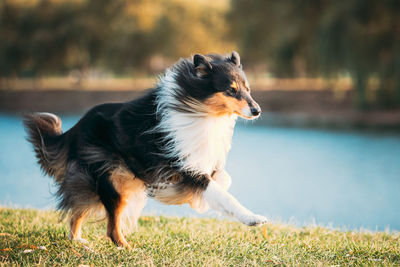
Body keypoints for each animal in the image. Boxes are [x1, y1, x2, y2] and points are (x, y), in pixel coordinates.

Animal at [24, 51, 268, 248]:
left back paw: (79, 241)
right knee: (111, 227)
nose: (257, 110)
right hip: (111, 179)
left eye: (248, 89)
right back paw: (125, 247)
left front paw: (193, 201)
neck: (200, 111)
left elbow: (223, 181)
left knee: (78, 212)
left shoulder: (200, 160)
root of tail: (74, 129)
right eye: (231, 90)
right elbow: (222, 194)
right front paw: (253, 218)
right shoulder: (183, 164)